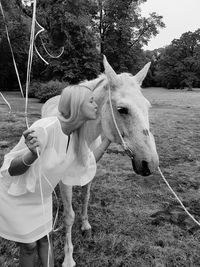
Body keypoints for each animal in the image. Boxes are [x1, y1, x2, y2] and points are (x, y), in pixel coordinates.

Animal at [41, 55, 159, 266]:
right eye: (122, 109)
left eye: (147, 107)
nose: (150, 164)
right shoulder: (65, 181)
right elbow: (69, 216)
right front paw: (68, 257)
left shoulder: (89, 172)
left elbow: (85, 198)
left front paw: (85, 225)